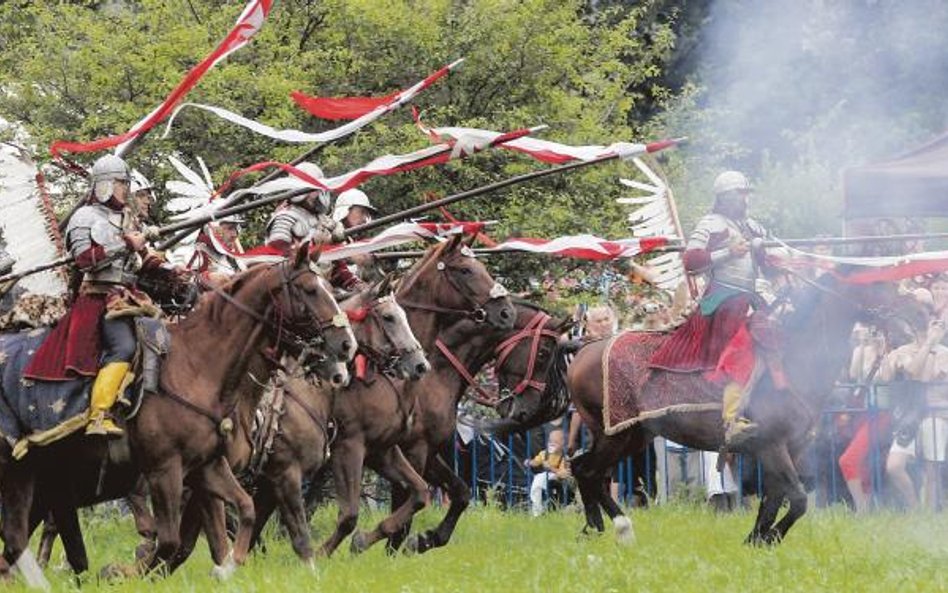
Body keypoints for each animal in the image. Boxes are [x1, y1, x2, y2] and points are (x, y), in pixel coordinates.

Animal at [0, 245, 356, 584]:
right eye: (310, 289)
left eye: (330, 288)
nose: (347, 346)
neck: (197, 367)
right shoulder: (165, 470)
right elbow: (171, 542)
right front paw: (121, 571)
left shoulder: (206, 467)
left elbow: (243, 512)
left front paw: (227, 568)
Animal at [318, 235, 516, 556]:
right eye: (465, 270)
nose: (506, 312)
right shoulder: (409, 449)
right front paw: (388, 545)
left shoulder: (421, 451)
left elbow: (456, 492)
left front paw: (424, 539)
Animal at [568, 276, 900, 544]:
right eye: (878, 283)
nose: (908, 315)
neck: (794, 359)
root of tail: (584, 350)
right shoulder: (771, 445)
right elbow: (797, 499)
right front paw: (769, 538)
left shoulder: (787, 449)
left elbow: (775, 498)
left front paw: (757, 539)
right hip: (616, 435)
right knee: (589, 471)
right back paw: (618, 528)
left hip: (630, 436)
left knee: (584, 469)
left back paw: (595, 529)